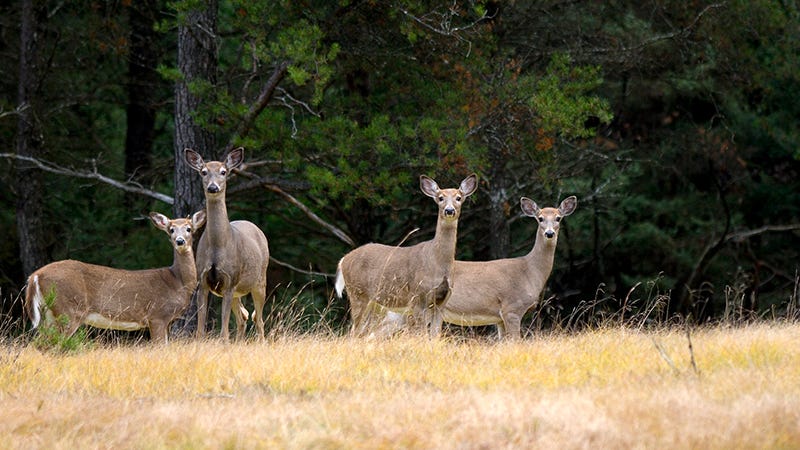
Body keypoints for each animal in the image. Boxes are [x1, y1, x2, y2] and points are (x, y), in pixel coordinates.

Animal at [25, 209, 206, 342]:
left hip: (50, 313)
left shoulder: (165, 321)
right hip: (68, 310)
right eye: (171, 230)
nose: (180, 241)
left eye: (189, 229)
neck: (177, 282)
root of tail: (35, 276)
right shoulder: (157, 315)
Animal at [183, 148, 270, 342]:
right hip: (237, 291)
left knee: (259, 319)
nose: (213, 187)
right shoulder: (203, 282)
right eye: (204, 172)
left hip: (259, 280)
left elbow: (223, 330)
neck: (218, 247)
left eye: (223, 172)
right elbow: (200, 330)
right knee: (243, 317)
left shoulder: (230, 281)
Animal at [334, 174, 478, 336]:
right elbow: (420, 334)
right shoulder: (418, 296)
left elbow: (435, 336)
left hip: (375, 303)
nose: (449, 210)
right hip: (358, 293)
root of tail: (344, 259)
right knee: (353, 332)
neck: (438, 262)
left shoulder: (442, 302)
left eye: (459, 198)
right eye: (440, 198)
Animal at [428, 195, 580, 340]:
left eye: (558, 218)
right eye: (540, 218)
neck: (529, 271)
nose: (549, 233)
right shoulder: (512, 308)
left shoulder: (499, 319)